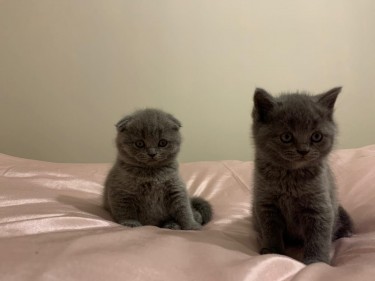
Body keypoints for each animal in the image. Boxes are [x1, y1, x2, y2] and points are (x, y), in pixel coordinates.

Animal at [251, 86, 354, 264]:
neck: (290, 178)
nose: (303, 150)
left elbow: (318, 236)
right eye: (286, 137)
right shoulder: (266, 203)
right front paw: (272, 252)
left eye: (316, 136)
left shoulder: (319, 206)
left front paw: (316, 261)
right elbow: (270, 231)